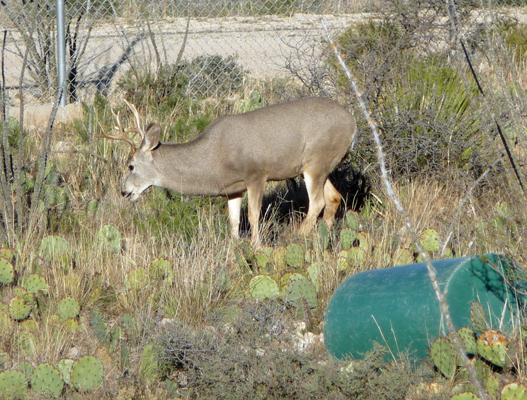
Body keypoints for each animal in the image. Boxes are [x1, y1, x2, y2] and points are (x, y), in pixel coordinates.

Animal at [98, 98, 356, 245]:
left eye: (130, 165)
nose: (123, 191)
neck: (214, 158)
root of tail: (352, 123)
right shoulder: (233, 189)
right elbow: (233, 220)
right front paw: (234, 249)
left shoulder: (256, 174)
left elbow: (253, 215)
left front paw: (256, 246)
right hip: (319, 166)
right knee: (334, 197)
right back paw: (320, 240)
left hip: (316, 160)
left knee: (317, 201)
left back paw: (297, 237)